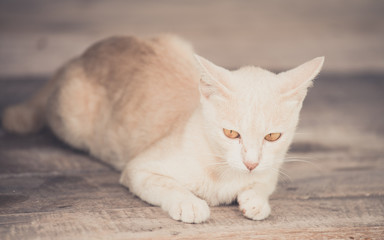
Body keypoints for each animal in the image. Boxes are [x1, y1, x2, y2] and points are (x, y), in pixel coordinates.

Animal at [1, 34, 324, 224]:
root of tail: (84, 54)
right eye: (231, 134)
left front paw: (255, 201)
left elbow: (262, 185)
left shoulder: (270, 171)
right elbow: (168, 185)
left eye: (273, 137)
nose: (251, 162)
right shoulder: (139, 169)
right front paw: (190, 203)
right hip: (70, 118)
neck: (223, 172)